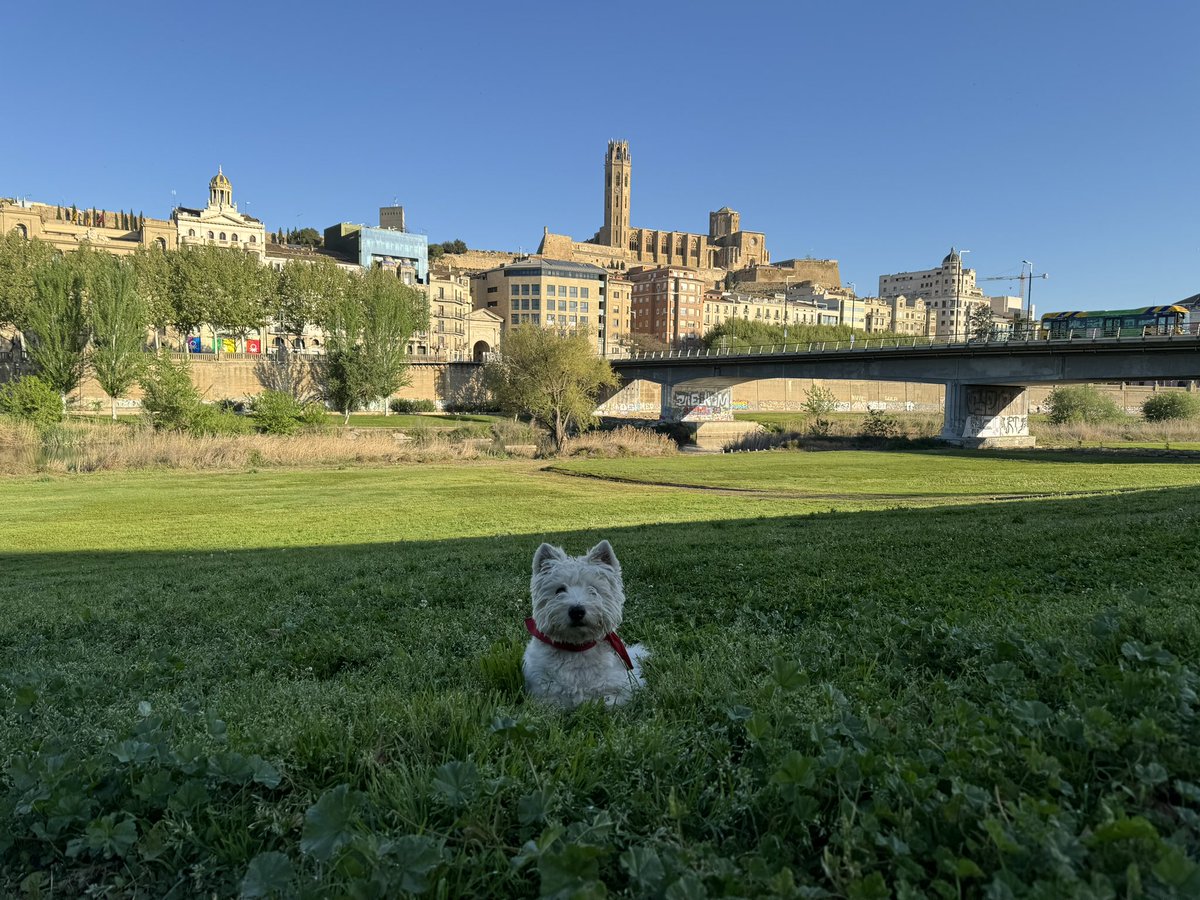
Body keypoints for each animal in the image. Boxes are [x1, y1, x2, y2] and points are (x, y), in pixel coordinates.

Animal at [523, 540, 648, 710]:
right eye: (559, 590)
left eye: (593, 589)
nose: (576, 611)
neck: (577, 648)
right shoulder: (543, 695)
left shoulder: (625, 688)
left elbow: (605, 700)